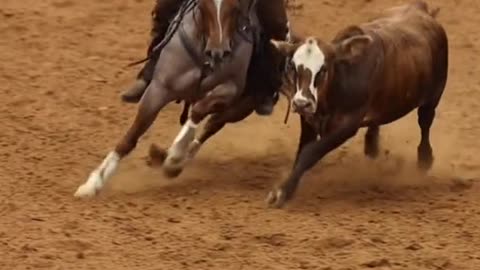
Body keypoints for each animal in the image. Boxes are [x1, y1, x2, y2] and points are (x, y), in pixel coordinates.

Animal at [266, 0, 446, 208]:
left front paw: (281, 191)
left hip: (433, 96)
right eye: (293, 67)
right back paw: (372, 146)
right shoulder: (309, 121)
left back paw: (424, 159)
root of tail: (421, 9)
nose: (301, 103)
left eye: (323, 69)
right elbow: (301, 154)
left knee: (425, 123)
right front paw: (286, 188)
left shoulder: (346, 126)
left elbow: (309, 153)